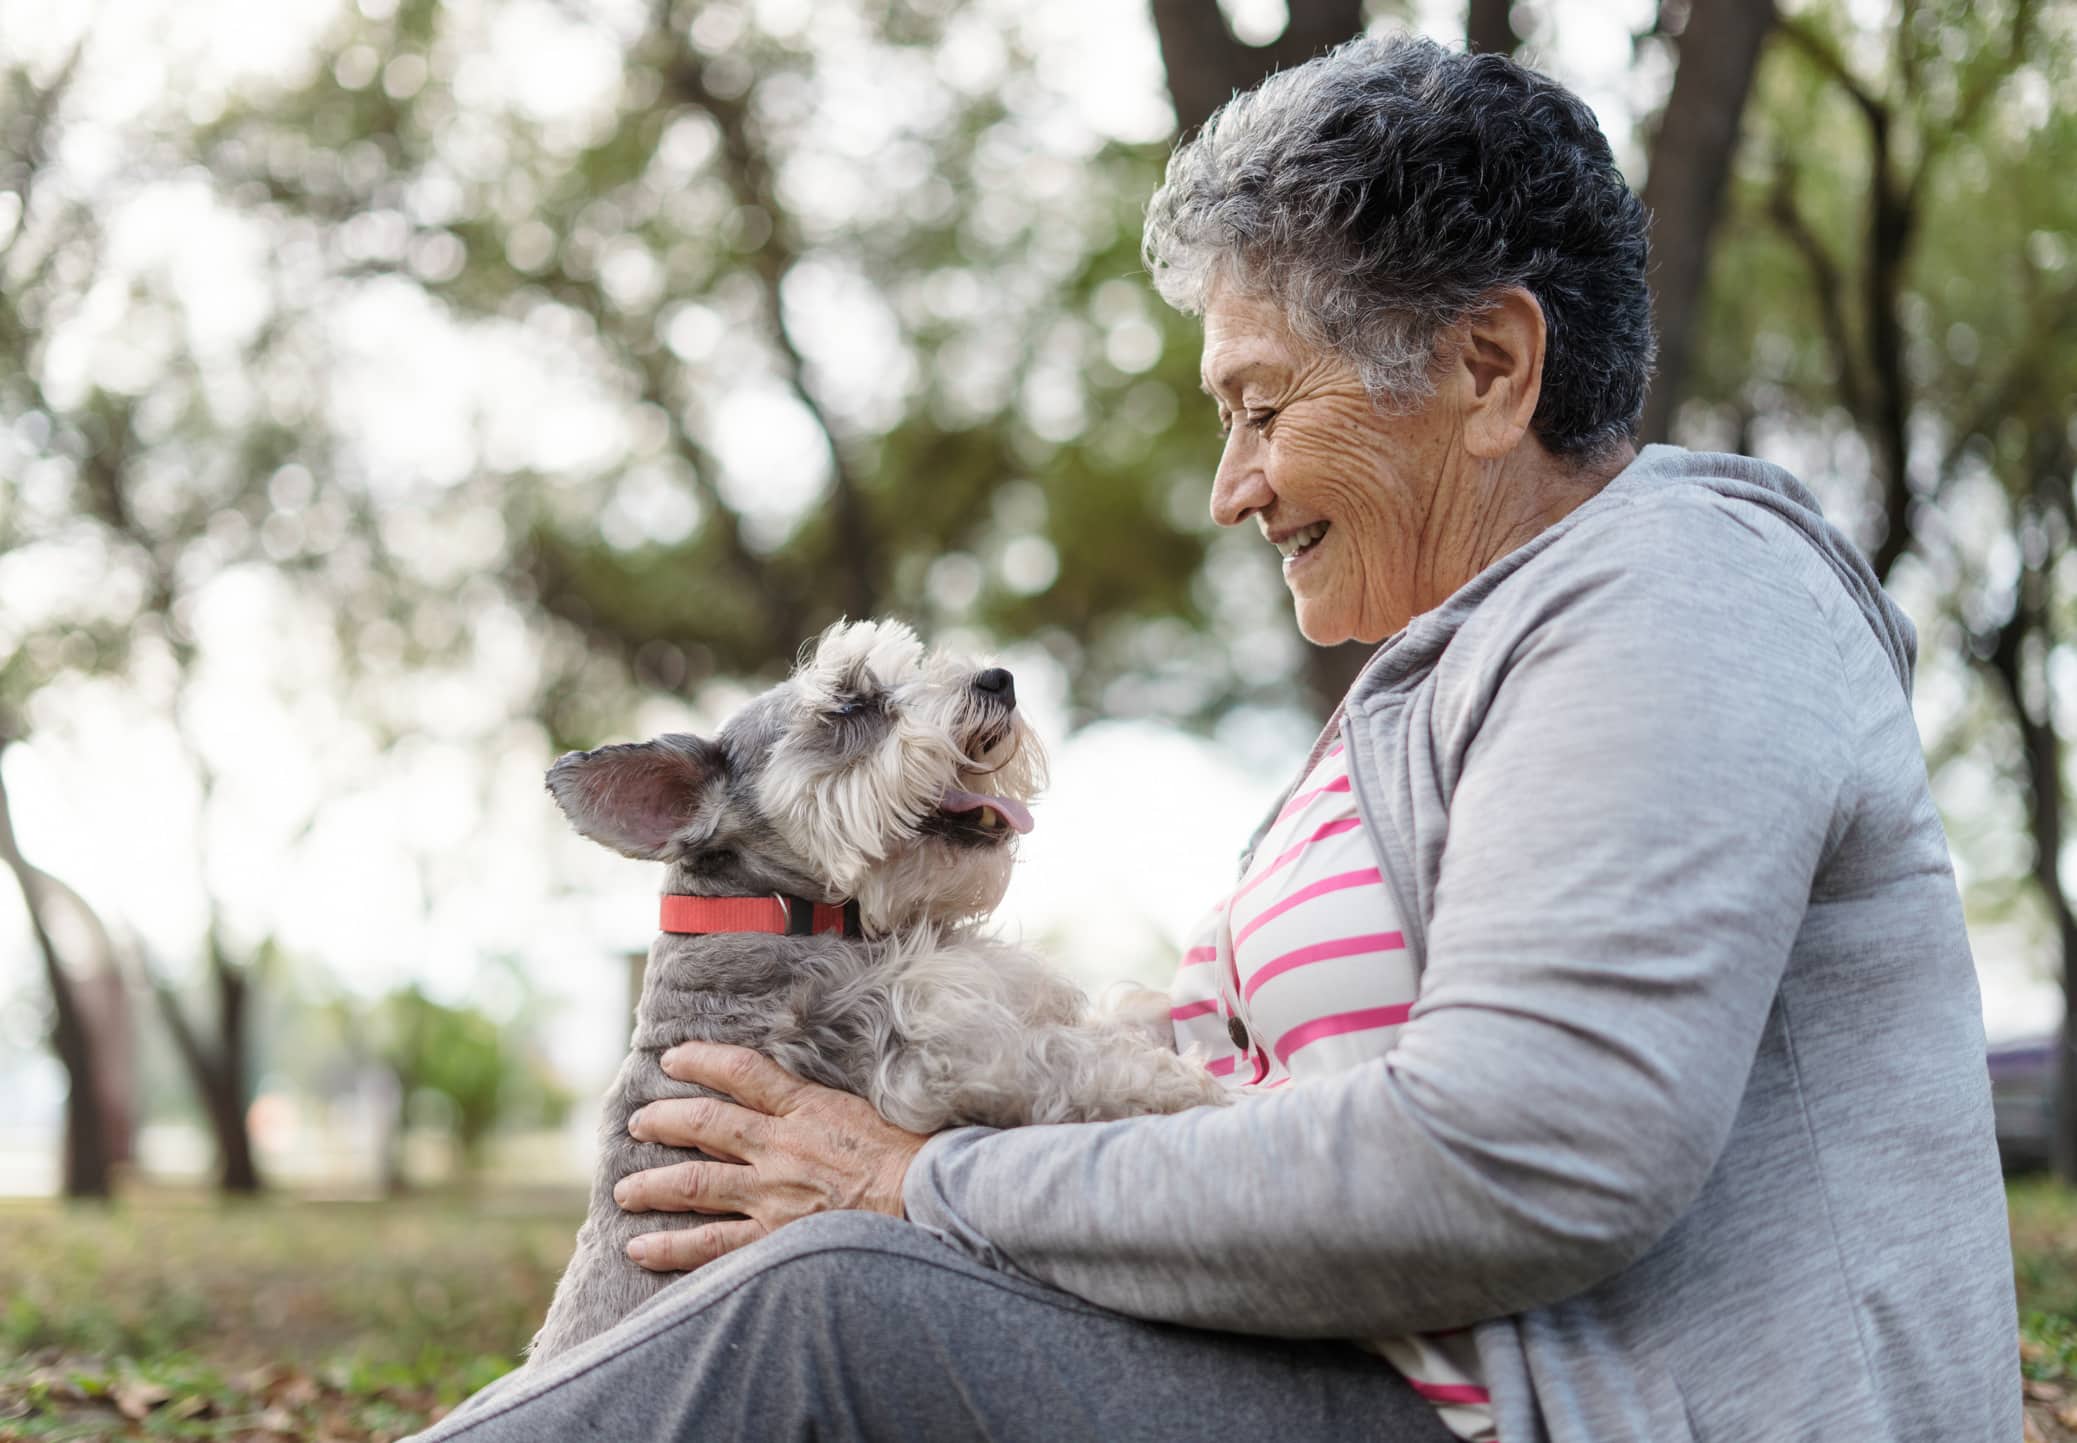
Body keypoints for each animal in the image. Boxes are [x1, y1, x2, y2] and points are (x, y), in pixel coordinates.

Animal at [523, 622, 1229, 1362]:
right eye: (848, 704)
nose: (998, 679)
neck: (788, 912)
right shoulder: (933, 1053)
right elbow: (1076, 1066)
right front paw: (1192, 1087)